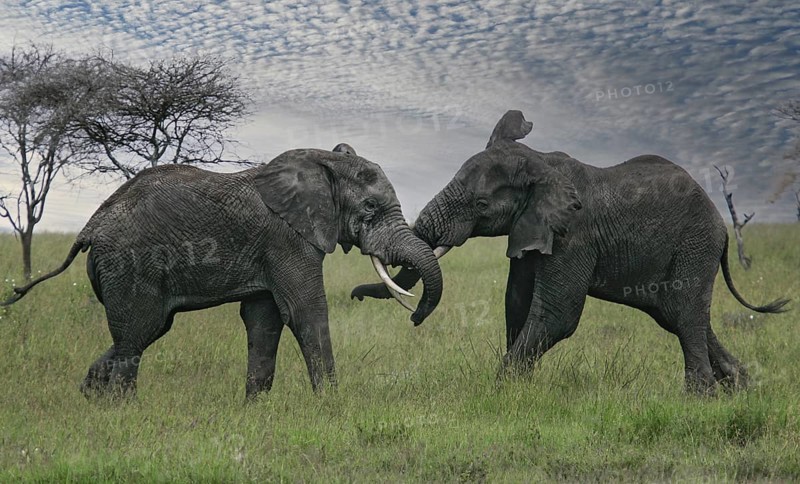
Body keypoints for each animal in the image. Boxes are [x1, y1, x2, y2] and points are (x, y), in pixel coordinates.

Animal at [2, 144, 443, 399]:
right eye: (370, 208)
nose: (415, 318)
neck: (323, 162)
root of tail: (90, 225)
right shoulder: (288, 239)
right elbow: (305, 311)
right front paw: (331, 407)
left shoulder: (272, 250)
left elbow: (264, 321)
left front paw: (255, 410)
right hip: (129, 265)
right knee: (136, 335)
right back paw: (123, 410)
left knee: (141, 331)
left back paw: (90, 398)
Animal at [352, 110, 789, 394]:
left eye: (480, 204)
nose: (354, 296)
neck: (541, 163)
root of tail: (722, 224)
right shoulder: (531, 230)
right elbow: (517, 304)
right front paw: (519, 390)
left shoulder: (573, 234)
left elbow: (557, 313)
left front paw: (500, 392)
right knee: (673, 315)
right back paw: (740, 388)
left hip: (695, 243)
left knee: (684, 308)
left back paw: (699, 397)